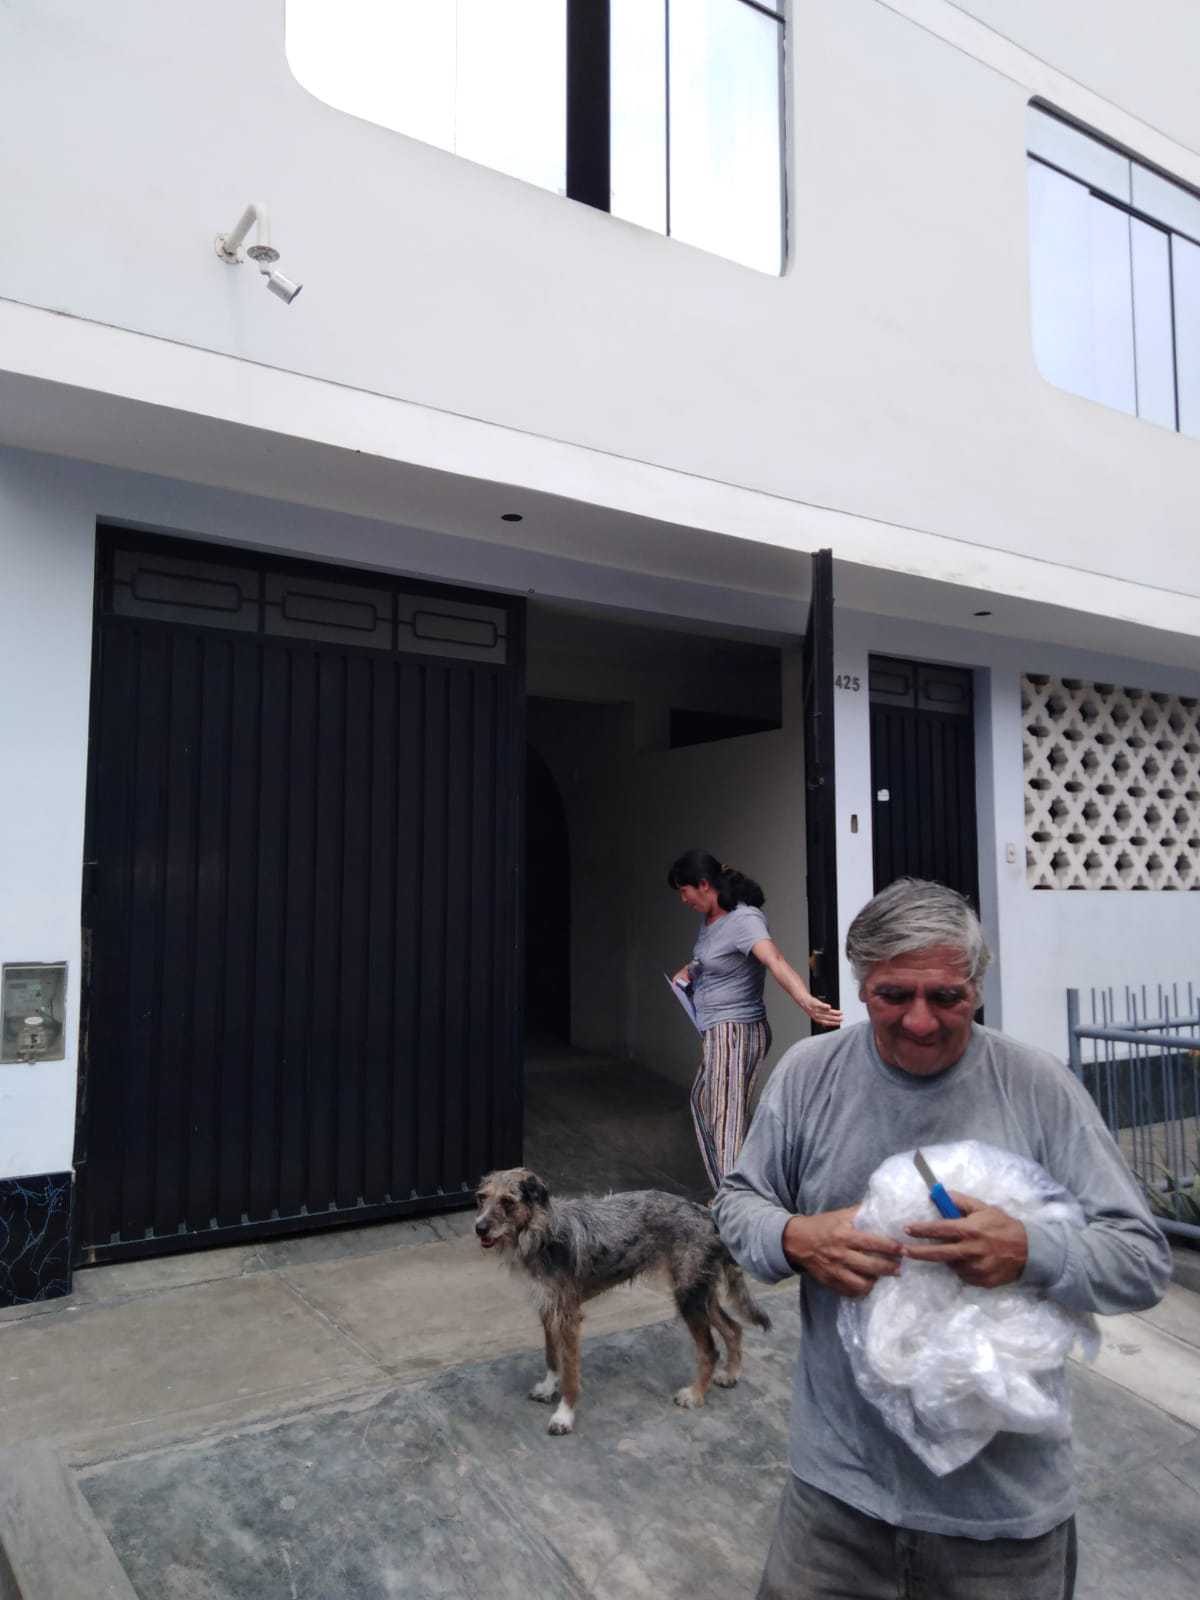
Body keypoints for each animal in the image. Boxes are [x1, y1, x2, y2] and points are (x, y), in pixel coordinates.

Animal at [474, 1167, 771, 1435]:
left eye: (508, 1201)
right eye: (481, 1197)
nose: (479, 1228)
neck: (544, 1234)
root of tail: (708, 1215)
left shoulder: (569, 1317)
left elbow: (570, 1373)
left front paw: (564, 1416)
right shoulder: (548, 1310)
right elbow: (551, 1357)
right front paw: (548, 1388)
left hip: (689, 1298)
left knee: (710, 1350)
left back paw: (695, 1395)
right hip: (701, 1293)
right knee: (733, 1328)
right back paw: (731, 1374)